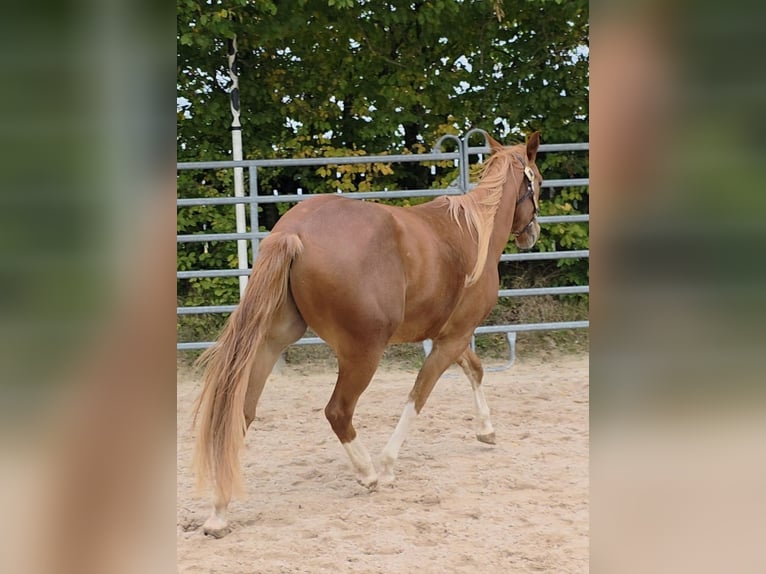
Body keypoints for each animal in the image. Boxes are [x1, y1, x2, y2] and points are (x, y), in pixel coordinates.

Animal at [192, 131, 543, 537]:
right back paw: (368, 473)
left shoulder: (451, 337)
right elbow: (418, 396)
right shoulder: (452, 337)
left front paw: (486, 430)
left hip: (270, 344)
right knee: (338, 411)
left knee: (239, 414)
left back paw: (219, 512)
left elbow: (475, 369)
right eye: (537, 180)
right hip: (363, 353)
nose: (533, 233)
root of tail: (293, 233)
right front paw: (388, 465)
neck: (474, 233)